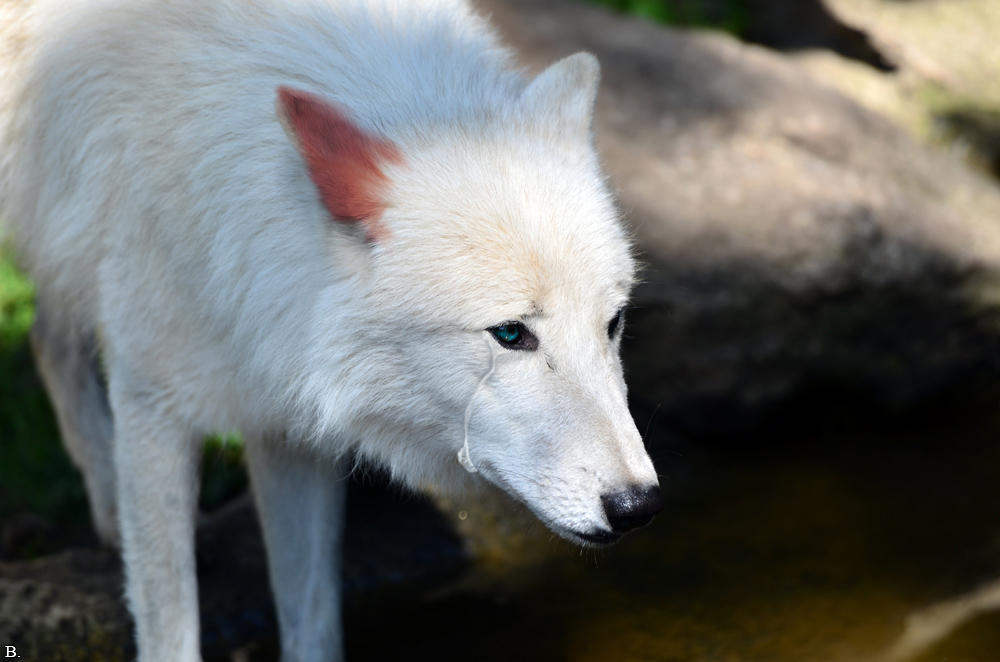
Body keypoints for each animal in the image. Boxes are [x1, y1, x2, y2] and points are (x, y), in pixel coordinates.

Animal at [0, 0, 662, 659]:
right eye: (510, 334)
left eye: (612, 323)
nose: (637, 505)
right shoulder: (152, 405)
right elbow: (171, 632)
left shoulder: (288, 427)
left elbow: (313, 619)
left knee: (46, 333)